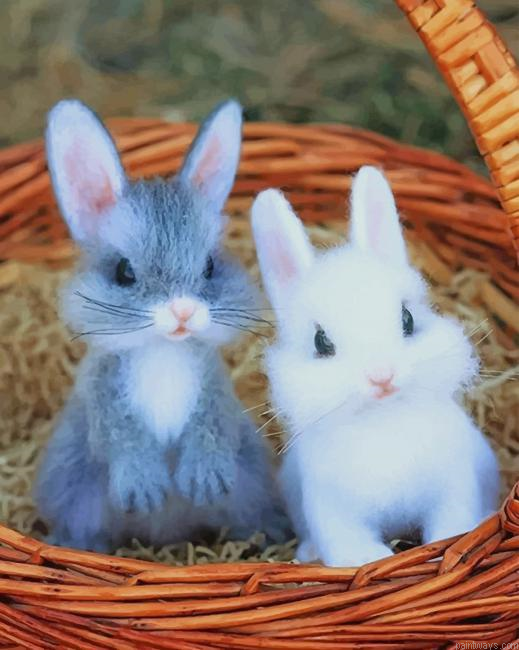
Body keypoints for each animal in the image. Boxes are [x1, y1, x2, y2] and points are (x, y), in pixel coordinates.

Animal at [34, 98, 287, 552]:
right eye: (123, 272)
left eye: (209, 266)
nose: (183, 311)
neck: (162, 351)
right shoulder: (105, 404)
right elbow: (125, 438)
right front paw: (144, 491)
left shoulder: (215, 394)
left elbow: (210, 428)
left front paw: (205, 481)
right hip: (78, 493)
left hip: (250, 485)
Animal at [251, 165, 500, 567]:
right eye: (321, 343)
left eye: (408, 319)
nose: (382, 376)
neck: (380, 420)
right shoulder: (331, 508)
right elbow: (348, 544)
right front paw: (366, 559)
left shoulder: (454, 483)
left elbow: (452, 523)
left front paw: (447, 546)